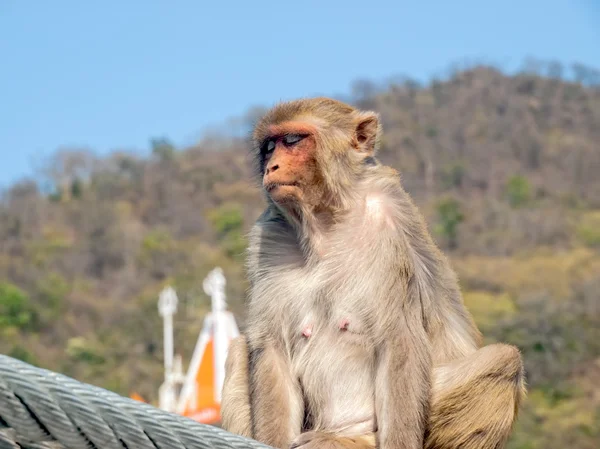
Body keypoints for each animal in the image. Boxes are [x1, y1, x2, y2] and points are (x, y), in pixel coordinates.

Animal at [221, 98, 524, 448]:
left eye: (293, 141)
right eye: (270, 147)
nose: (272, 166)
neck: (325, 223)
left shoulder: (386, 225)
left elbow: (399, 340)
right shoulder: (270, 240)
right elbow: (271, 349)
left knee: (505, 359)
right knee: (238, 349)